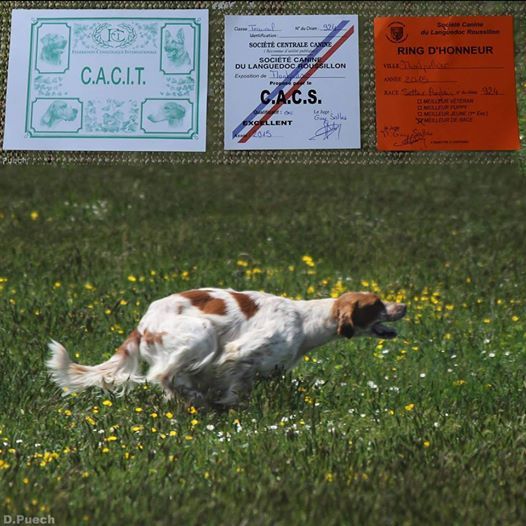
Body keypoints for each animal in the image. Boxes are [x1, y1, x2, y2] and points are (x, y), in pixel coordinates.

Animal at [46, 288, 408, 408]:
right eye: (377, 304)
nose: (403, 306)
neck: (304, 321)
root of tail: (142, 324)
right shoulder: (238, 355)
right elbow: (233, 387)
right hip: (202, 332)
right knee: (162, 375)